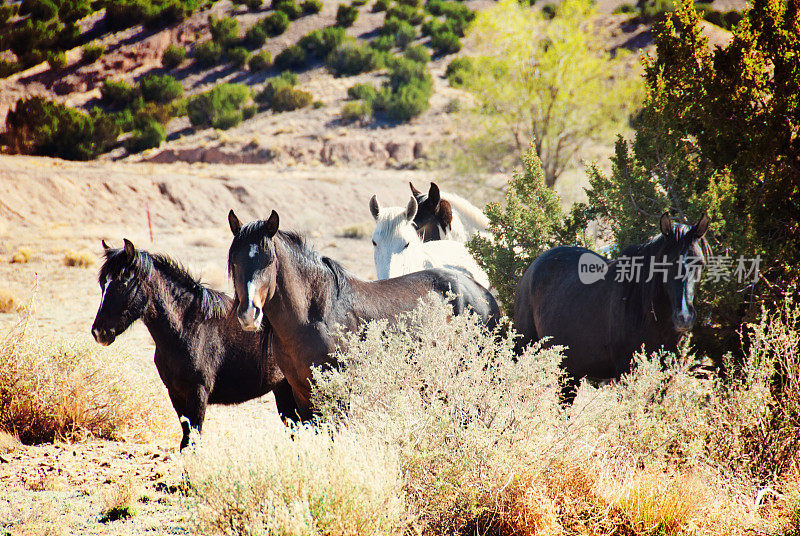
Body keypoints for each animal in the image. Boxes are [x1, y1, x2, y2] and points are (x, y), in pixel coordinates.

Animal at [90, 239, 296, 448]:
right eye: (102, 283)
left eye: (123, 283)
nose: (99, 332)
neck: (188, 329)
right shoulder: (176, 393)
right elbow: (186, 439)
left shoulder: (197, 394)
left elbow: (192, 440)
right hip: (284, 391)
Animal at [225, 209, 500, 418]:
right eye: (235, 262)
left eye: (269, 261)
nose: (249, 314)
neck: (317, 315)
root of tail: (482, 294)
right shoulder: (302, 394)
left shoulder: (337, 394)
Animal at [512, 211, 712, 404]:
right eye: (665, 264)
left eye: (700, 263)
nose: (684, 317)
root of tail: (532, 267)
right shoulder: (626, 371)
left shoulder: (665, 373)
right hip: (524, 351)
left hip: (569, 369)